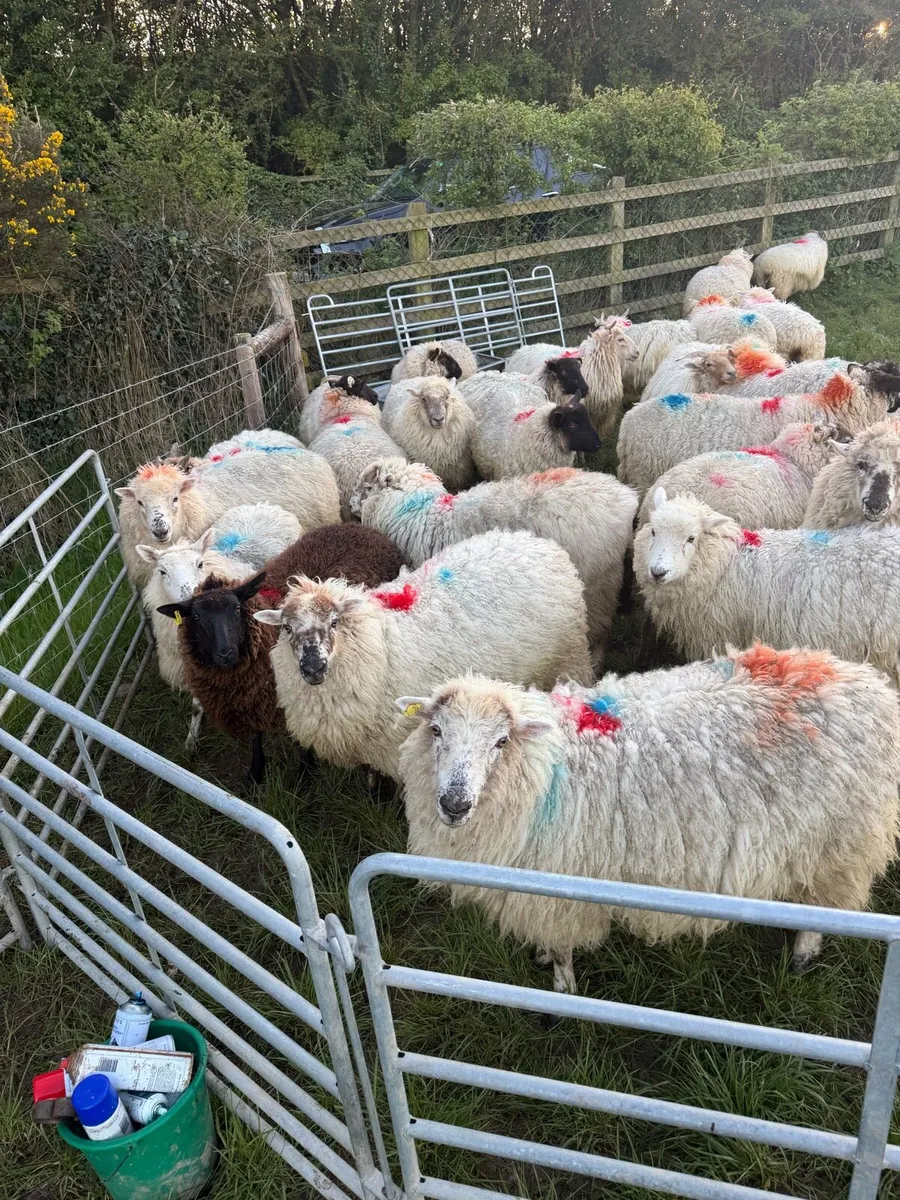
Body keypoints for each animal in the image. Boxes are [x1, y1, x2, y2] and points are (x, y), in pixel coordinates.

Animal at [156, 524, 406, 781]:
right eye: (196, 617)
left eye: (237, 608)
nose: (225, 653)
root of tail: (358, 527)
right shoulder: (252, 700)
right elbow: (256, 736)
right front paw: (256, 772)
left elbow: (300, 743)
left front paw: (305, 773)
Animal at [255, 530, 594, 781]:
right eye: (286, 628)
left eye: (334, 622)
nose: (313, 668)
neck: (379, 647)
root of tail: (538, 541)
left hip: (569, 657)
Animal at [349, 458, 637, 664]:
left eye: (367, 487)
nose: (349, 505)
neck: (422, 514)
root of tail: (626, 497)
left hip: (599, 583)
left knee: (599, 632)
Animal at [396, 653, 900, 992]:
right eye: (436, 731)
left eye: (501, 741)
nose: (455, 803)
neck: (546, 768)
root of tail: (869, 683)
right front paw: (540, 956)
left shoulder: (561, 893)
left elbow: (562, 952)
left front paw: (563, 989)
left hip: (842, 844)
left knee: (826, 905)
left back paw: (803, 954)